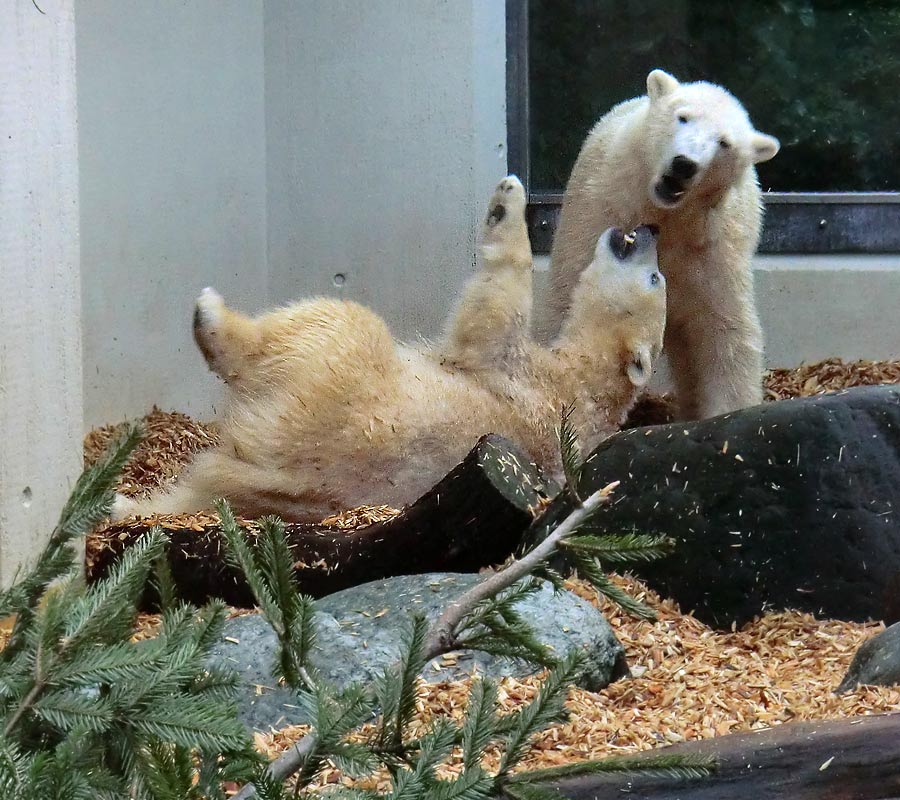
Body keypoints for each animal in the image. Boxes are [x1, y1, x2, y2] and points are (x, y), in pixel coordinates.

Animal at [112, 177, 664, 520]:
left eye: (656, 279)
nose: (649, 229)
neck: (585, 382)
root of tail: (292, 475)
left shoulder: (518, 371)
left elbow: (490, 314)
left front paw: (507, 201)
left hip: (334, 388)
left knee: (332, 321)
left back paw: (213, 316)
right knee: (197, 496)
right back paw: (123, 505)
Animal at [540, 69, 780, 418]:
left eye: (724, 142)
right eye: (683, 117)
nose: (684, 164)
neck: (665, 215)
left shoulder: (712, 248)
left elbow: (725, 334)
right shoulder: (601, 210)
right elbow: (569, 298)